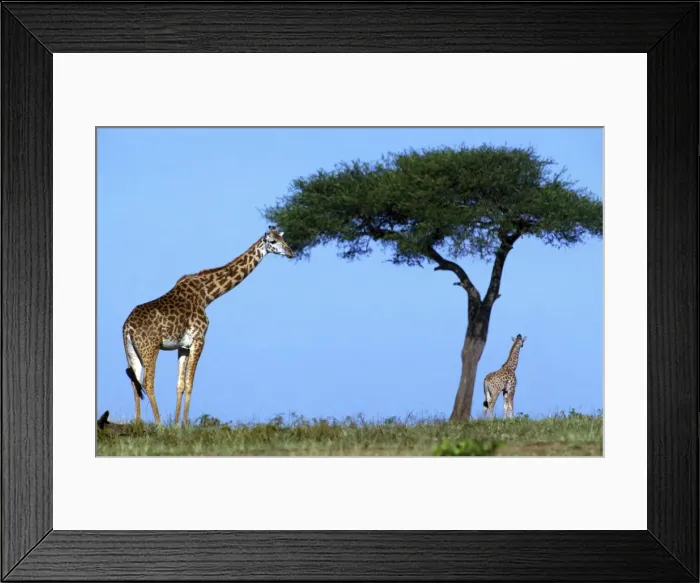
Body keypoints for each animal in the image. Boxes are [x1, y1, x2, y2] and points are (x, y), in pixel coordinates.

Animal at [121, 226, 295, 427]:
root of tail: (127, 327)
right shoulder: (199, 340)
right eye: (273, 242)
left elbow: (180, 385)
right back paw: (159, 425)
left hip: (132, 351)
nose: (291, 252)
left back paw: (138, 424)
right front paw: (185, 426)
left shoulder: (183, 346)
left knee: (134, 382)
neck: (207, 295)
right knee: (148, 382)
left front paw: (176, 425)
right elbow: (190, 384)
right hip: (150, 348)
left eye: (283, 240)